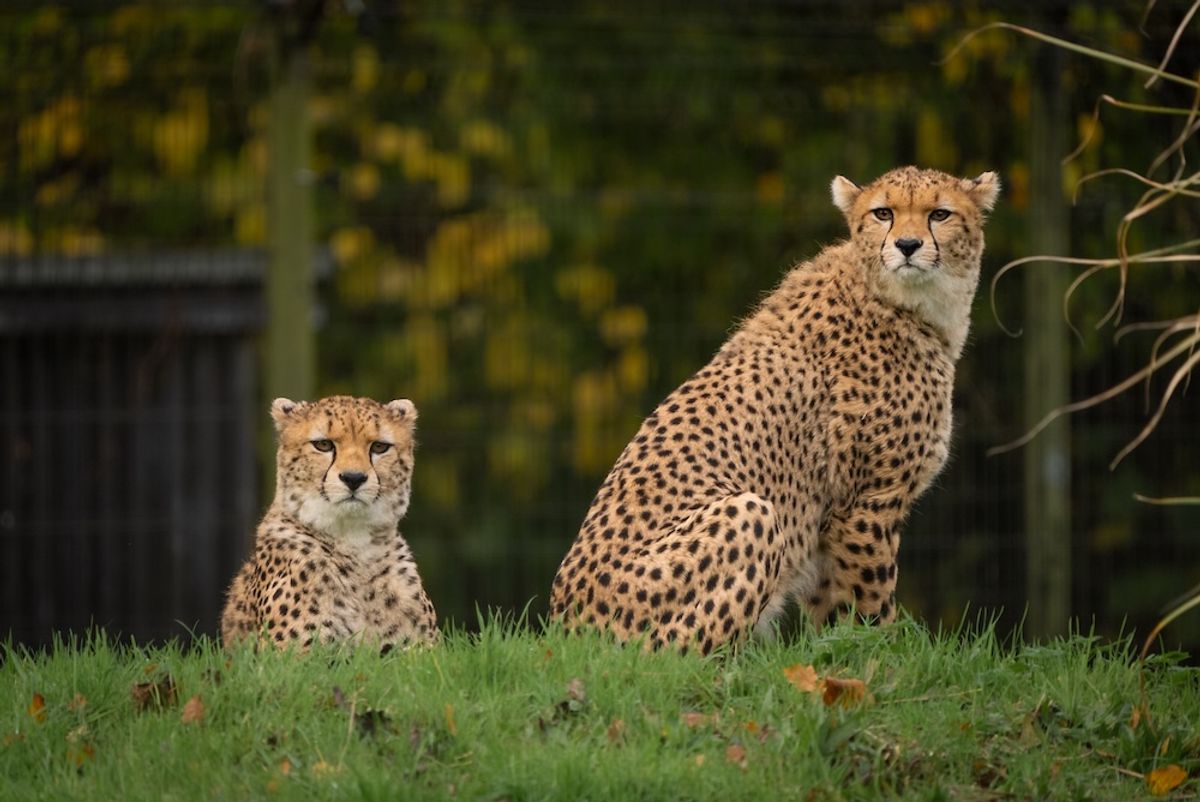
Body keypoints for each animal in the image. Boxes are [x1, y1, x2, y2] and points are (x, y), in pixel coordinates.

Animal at [220, 395, 438, 650]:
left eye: (379, 447)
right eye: (323, 445)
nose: (354, 478)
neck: (355, 542)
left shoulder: (422, 651)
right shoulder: (296, 655)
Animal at [550, 166, 1000, 655]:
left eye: (940, 214)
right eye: (884, 213)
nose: (908, 245)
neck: (906, 302)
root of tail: (564, 631)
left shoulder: (828, 524)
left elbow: (832, 614)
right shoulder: (865, 504)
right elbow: (872, 605)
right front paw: (886, 656)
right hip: (749, 512)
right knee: (676, 657)